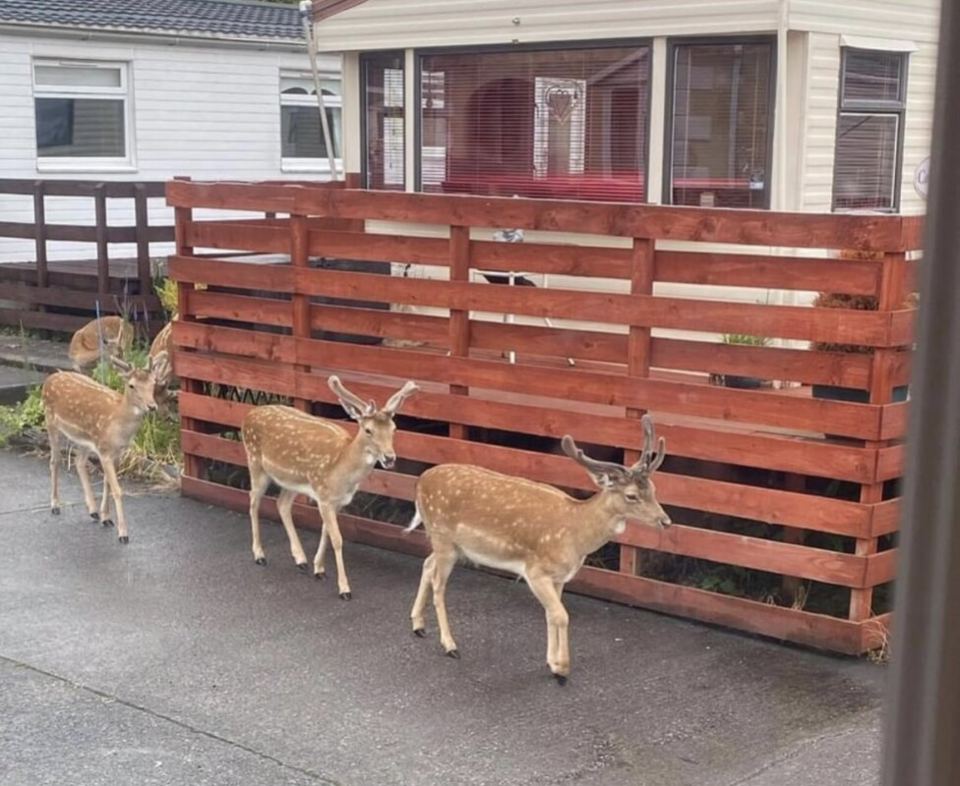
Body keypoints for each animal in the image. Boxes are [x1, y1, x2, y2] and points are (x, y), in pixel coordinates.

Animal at [42, 352, 169, 544]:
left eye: (153, 382)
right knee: (55, 461)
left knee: (78, 461)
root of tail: (49, 379)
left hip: (83, 439)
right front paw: (123, 534)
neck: (118, 424)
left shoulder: (117, 452)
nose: (152, 406)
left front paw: (106, 518)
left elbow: (107, 483)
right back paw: (55, 505)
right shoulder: (104, 450)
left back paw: (93, 511)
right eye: (131, 385)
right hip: (51, 422)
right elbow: (117, 489)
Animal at [241, 375, 419, 600]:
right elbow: (337, 539)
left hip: (291, 480)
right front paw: (344, 588)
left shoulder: (337, 501)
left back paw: (300, 559)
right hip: (255, 462)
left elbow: (326, 531)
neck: (342, 469)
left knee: (281, 504)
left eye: (394, 428)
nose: (389, 458)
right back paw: (259, 555)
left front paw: (319, 569)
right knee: (253, 502)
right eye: (368, 430)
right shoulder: (323, 495)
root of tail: (247, 416)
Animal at [406, 415, 670, 684]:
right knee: (439, 584)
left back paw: (418, 625)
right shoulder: (536, 571)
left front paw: (551, 662)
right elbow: (561, 615)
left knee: (427, 564)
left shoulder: (560, 577)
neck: (576, 534)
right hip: (443, 537)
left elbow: (551, 614)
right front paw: (562, 670)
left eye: (654, 490)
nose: (666, 521)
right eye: (631, 496)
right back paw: (450, 645)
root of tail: (420, 481)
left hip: (450, 544)